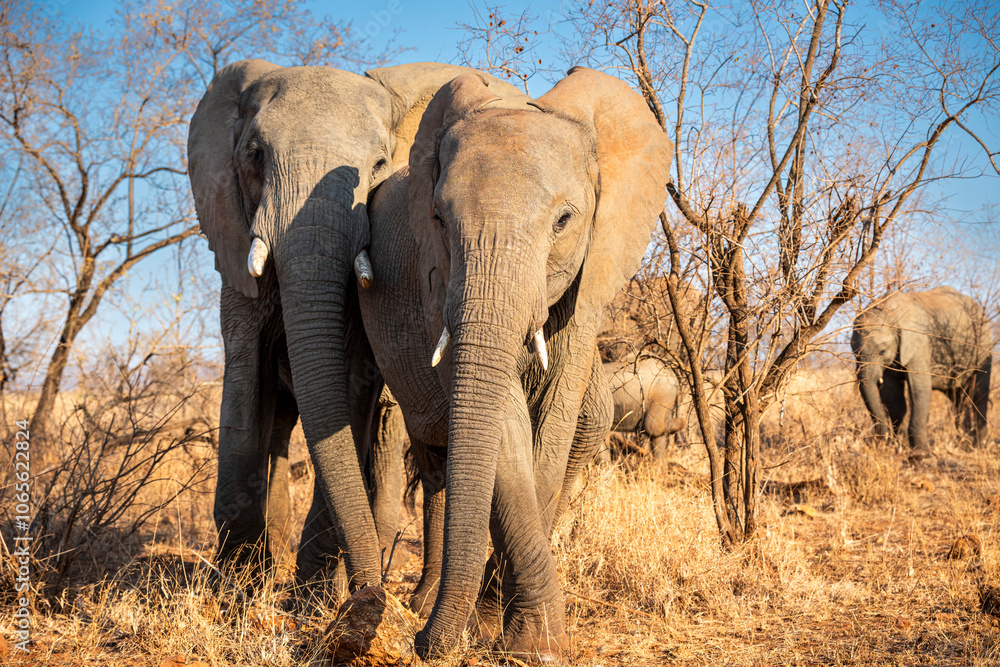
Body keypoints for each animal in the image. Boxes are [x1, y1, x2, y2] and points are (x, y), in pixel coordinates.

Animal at [187, 60, 510, 589]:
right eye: (255, 155)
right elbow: (245, 382)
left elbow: (353, 387)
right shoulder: (234, 244)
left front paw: (313, 595)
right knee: (280, 427)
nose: (367, 593)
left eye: (379, 166)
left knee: (386, 438)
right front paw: (235, 590)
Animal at [356, 68, 673, 660]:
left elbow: (550, 431)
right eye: (438, 218)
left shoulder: (587, 285)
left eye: (564, 221)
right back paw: (427, 603)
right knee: (435, 461)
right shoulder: (437, 284)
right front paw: (517, 641)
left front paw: (522, 643)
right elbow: (503, 427)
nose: (421, 644)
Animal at [851, 286, 993, 459]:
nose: (883, 443)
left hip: (983, 343)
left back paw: (978, 446)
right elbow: (892, 395)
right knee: (958, 398)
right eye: (854, 352)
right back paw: (963, 442)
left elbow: (919, 390)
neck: (891, 312)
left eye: (882, 351)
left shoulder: (919, 341)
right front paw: (900, 449)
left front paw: (920, 455)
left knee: (979, 393)